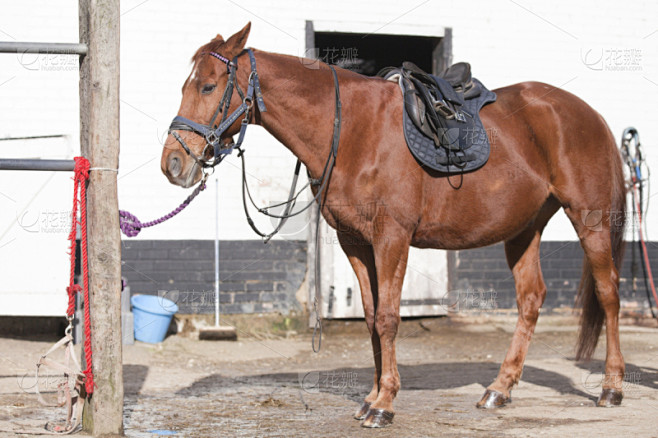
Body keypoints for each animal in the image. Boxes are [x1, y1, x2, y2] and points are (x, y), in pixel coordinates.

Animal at [161, 23, 626, 428]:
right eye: (184, 86)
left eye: (208, 86)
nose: (174, 163)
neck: (351, 130)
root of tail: (590, 114)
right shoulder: (354, 242)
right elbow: (369, 317)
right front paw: (369, 398)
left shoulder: (392, 238)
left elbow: (387, 318)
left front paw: (384, 404)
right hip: (524, 228)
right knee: (531, 299)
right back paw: (500, 388)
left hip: (590, 219)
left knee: (607, 294)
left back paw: (611, 388)